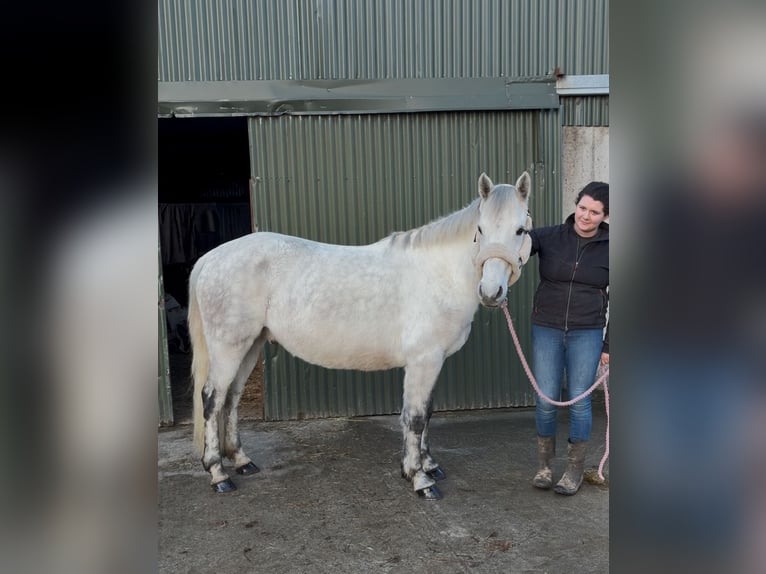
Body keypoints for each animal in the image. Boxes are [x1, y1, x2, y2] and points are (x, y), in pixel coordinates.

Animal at [188, 171, 533, 499]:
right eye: (480, 229)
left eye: (520, 230)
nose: (491, 292)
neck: (439, 274)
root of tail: (210, 258)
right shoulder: (423, 361)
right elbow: (414, 417)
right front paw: (419, 478)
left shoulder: (434, 361)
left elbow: (427, 413)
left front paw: (429, 465)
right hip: (228, 347)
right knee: (212, 399)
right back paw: (218, 473)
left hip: (250, 345)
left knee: (231, 398)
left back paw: (242, 461)